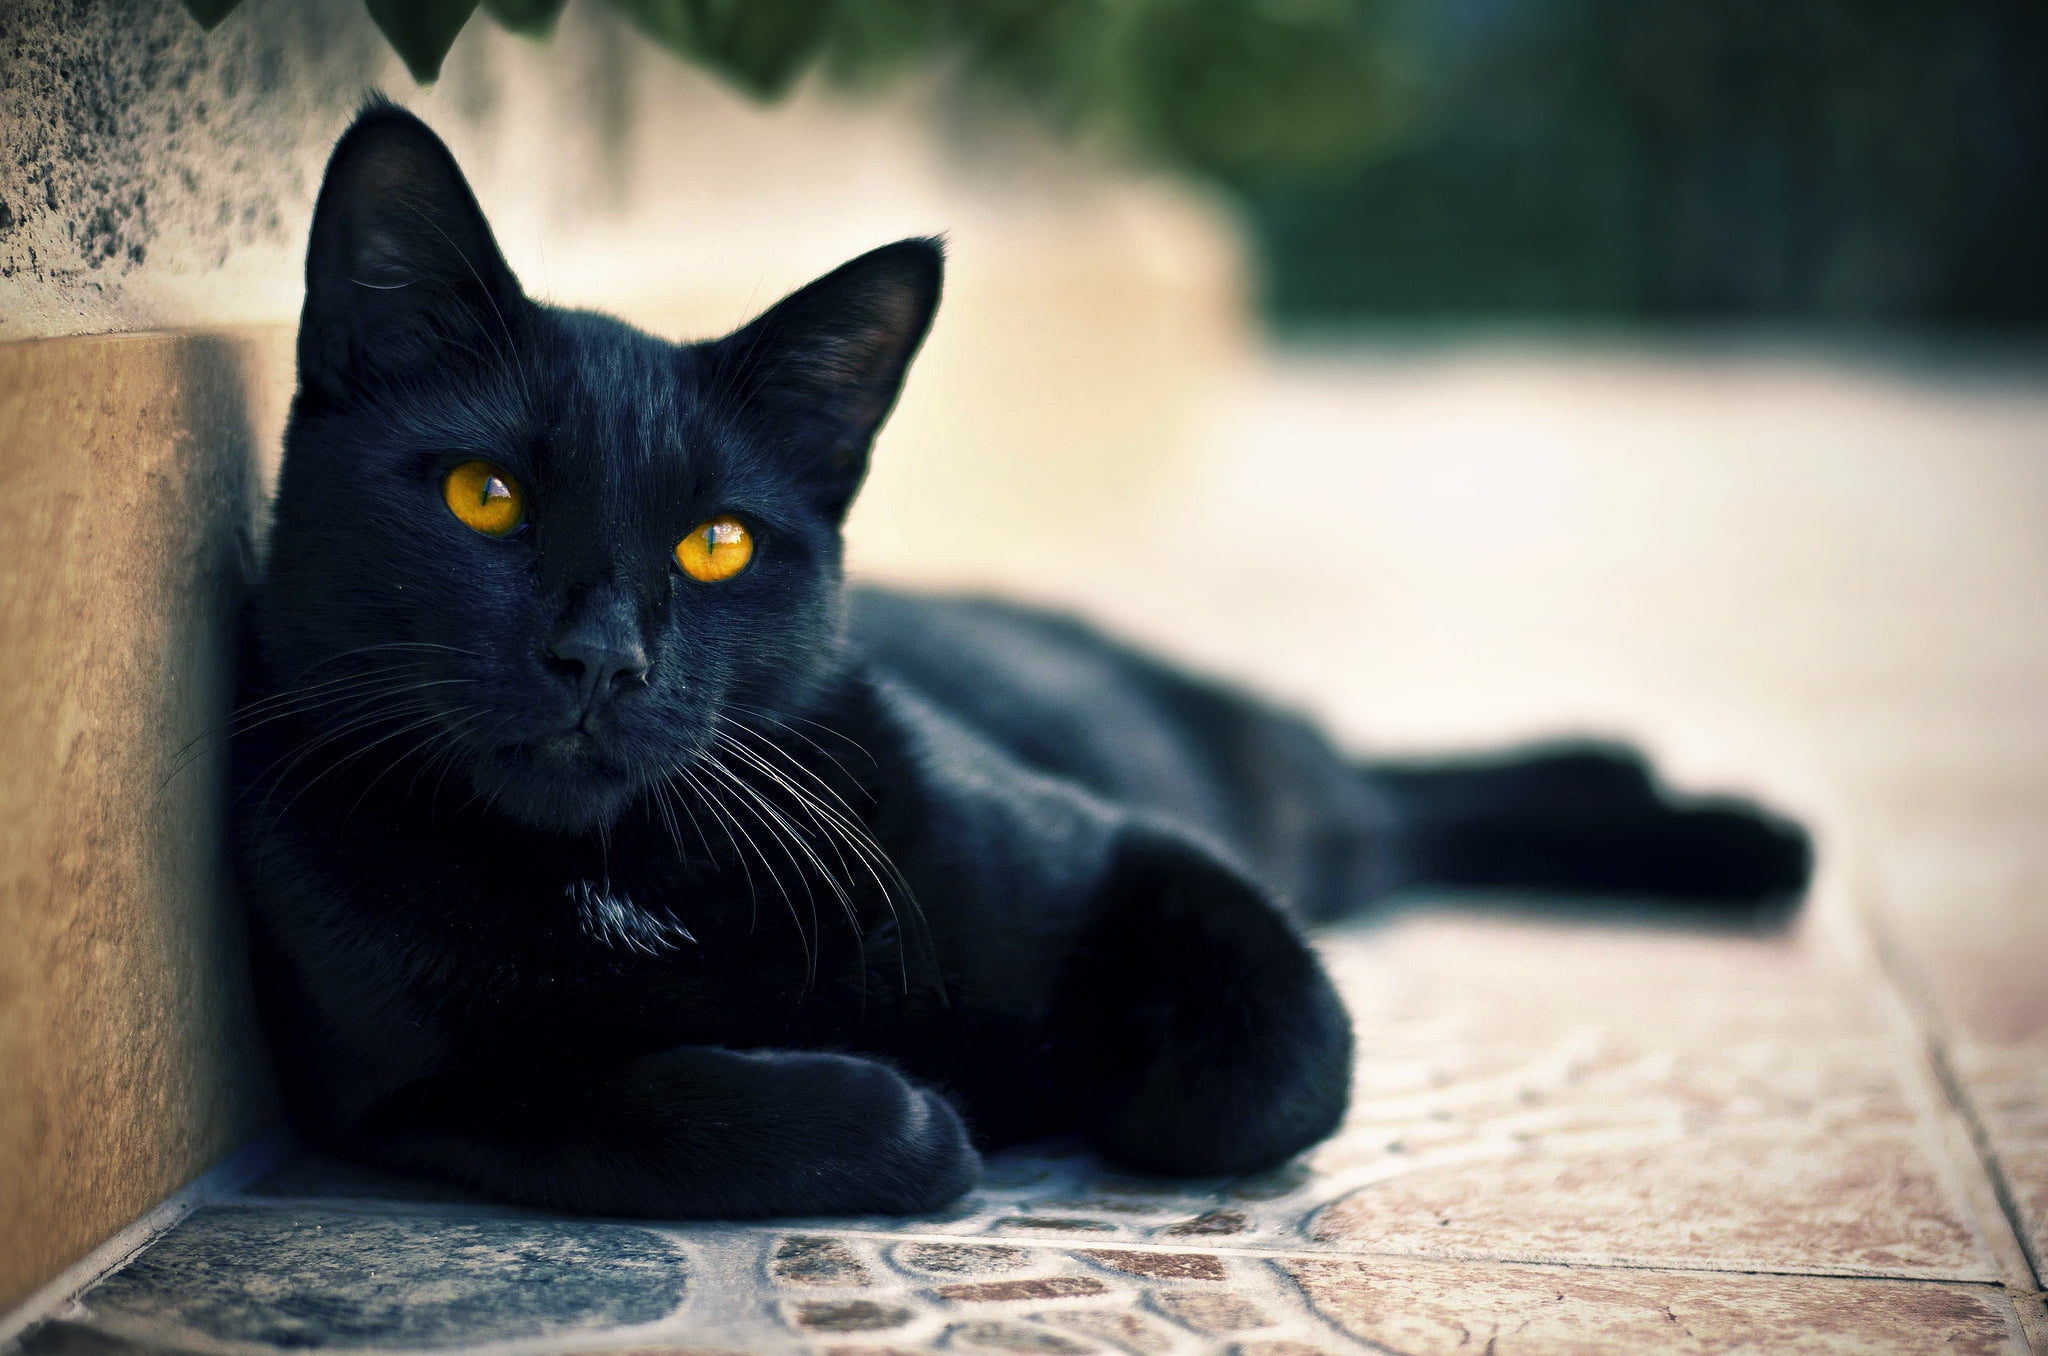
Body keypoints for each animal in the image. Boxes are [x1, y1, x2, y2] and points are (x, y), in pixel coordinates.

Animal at [235, 106, 1810, 1220]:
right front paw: (935, 1120)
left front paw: (1072, 1079)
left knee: (1371, 792)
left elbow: (1266, 1070)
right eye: (484, 496)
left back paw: (1726, 828)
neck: (623, 874)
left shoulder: (1136, 852)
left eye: (718, 545)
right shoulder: (403, 1088)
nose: (598, 659)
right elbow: (659, 1113)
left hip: (1252, 787)